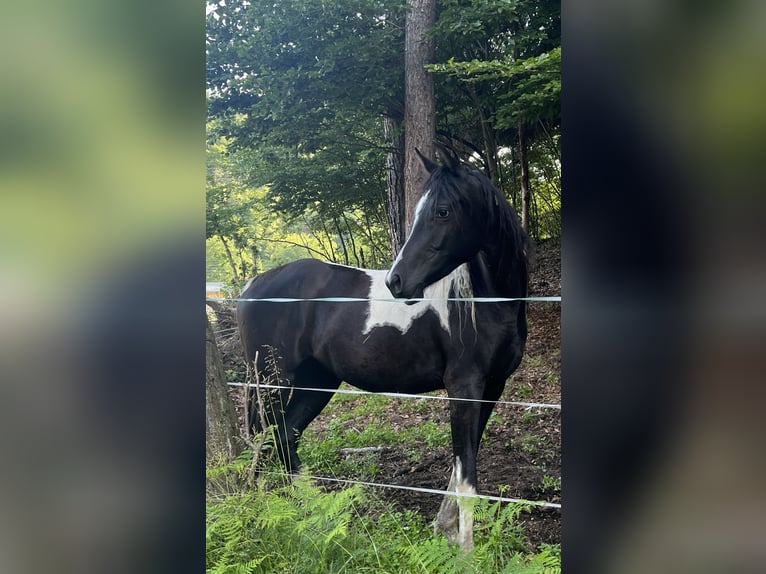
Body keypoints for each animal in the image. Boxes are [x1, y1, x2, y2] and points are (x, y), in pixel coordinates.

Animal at [238, 145, 528, 552]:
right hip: (271, 382)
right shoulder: (465, 387)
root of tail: (252, 285)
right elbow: (467, 477)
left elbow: (459, 469)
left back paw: (315, 517)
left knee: (285, 437)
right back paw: (261, 511)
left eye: (442, 211)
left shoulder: (492, 387)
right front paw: (466, 552)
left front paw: (444, 530)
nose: (396, 281)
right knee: (263, 441)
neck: (485, 301)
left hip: (317, 382)